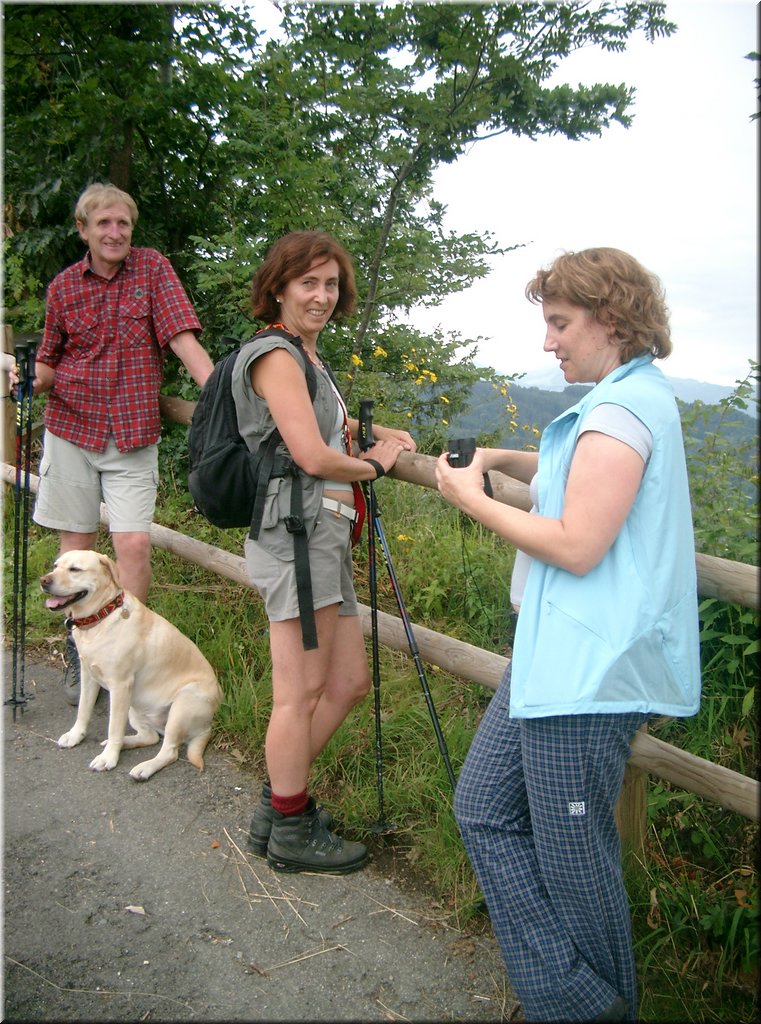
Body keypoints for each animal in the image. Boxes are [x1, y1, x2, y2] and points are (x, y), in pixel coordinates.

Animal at [40, 552, 222, 782]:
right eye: (56, 566)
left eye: (75, 569)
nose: (43, 581)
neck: (101, 616)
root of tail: (208, 727)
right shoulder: (88, 676)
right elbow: (83, 710)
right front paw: (76, 735)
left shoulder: (120, 685)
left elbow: (113, 728)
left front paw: (108, 758)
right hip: (136, 708)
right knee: (150, 737)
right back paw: (126, 744)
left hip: (181, 706)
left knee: (169, 751)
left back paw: (144, 768)